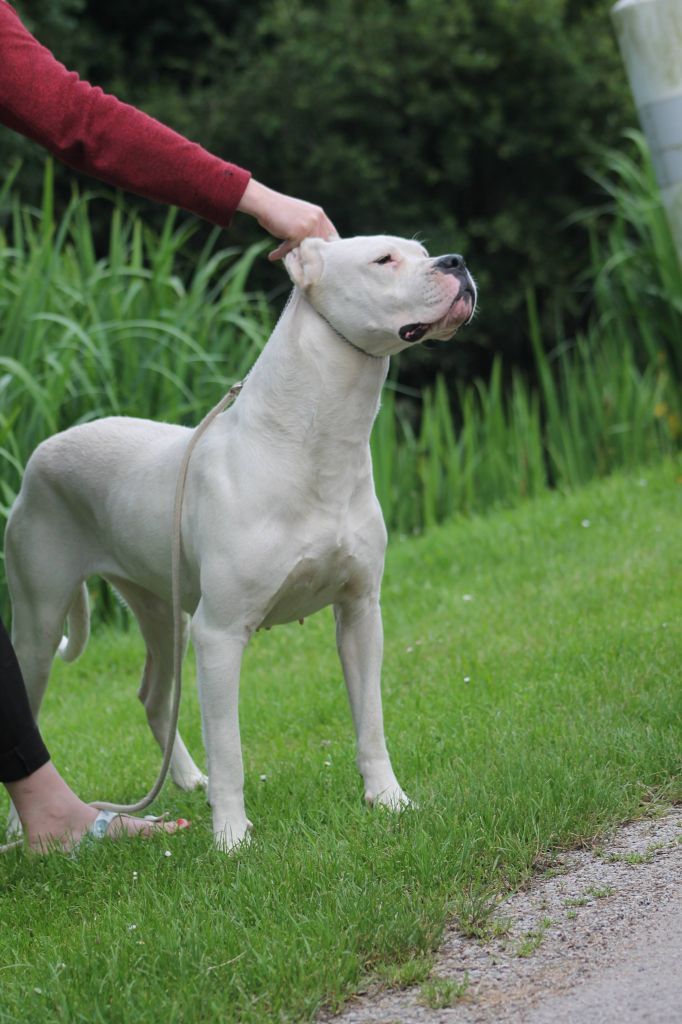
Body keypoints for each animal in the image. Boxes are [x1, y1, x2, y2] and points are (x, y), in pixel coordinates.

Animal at [6, 235, 473, 851]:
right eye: (383, 260)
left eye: (421, 251)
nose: (456, 262)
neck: (313, 443)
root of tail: (43, 450)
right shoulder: (221, 634)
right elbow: (229, 749)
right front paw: (231, 839)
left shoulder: (360, 612)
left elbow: (370, 721)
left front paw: (389, 800)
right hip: (40, 625)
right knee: (35, 707)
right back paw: (21, 826)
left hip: (164, 613)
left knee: (155, 696)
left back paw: (185, 780)